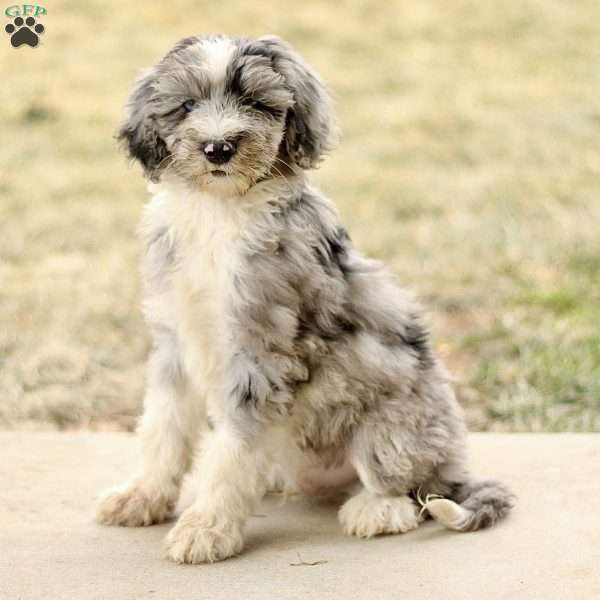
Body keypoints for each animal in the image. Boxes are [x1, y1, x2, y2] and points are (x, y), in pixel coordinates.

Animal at [96, 35, 512, 564]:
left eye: (256, 102)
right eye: (186, 105)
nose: (218, 148)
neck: (219, 212)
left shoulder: (259, 351)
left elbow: (232, 447)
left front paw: (207, 528)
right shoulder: (174, 342)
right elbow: (162, 429)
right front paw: (142, 497)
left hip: (393, 420)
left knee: (407, 493)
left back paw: (372, 511)